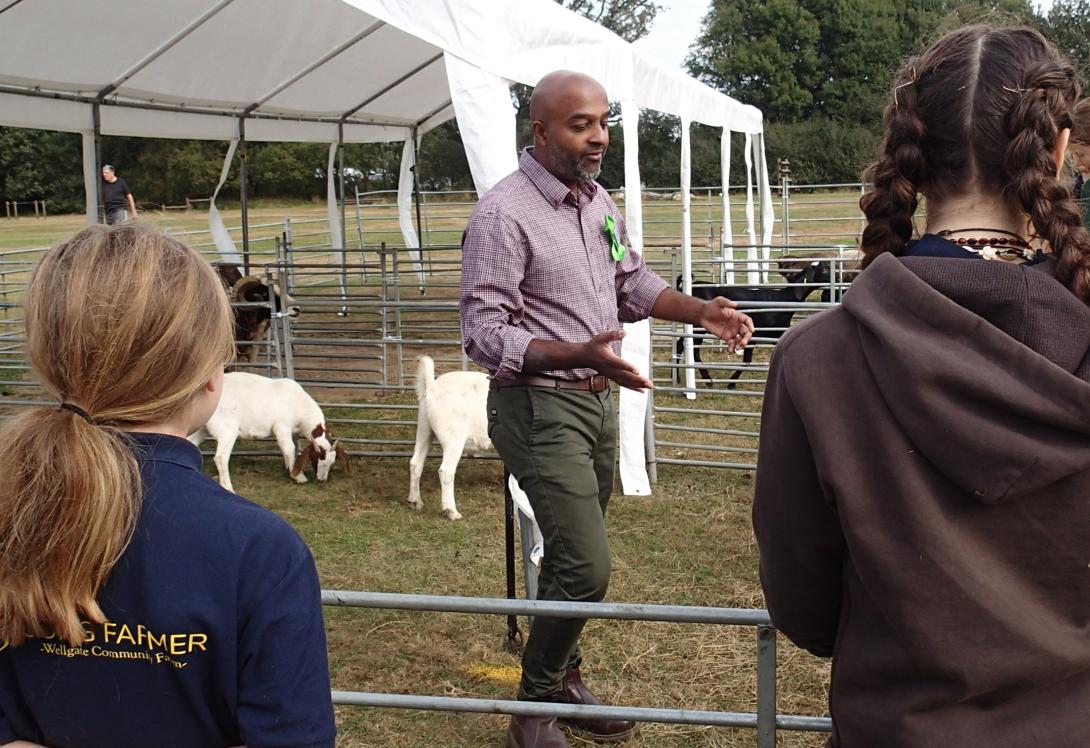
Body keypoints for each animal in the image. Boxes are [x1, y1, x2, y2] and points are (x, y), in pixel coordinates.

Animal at [187, 372, 348, 492]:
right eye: (318, 458)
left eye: (332, 462)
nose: (322, 480)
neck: (299, 404)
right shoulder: (282, 426)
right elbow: (289, 448)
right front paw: (298, 476)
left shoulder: (293, 432)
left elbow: (293, 449)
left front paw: (290, 466)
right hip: (227, 429)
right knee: (221, 458)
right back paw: (228, 488)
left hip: (203, 428)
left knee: (191, 442)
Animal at [409, 357, 494, 521]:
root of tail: (432, 387)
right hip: (453, 437)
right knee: (446, 471)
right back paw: (452, 512)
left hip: (424, 428)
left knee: (415, 463)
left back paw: (415, 501)